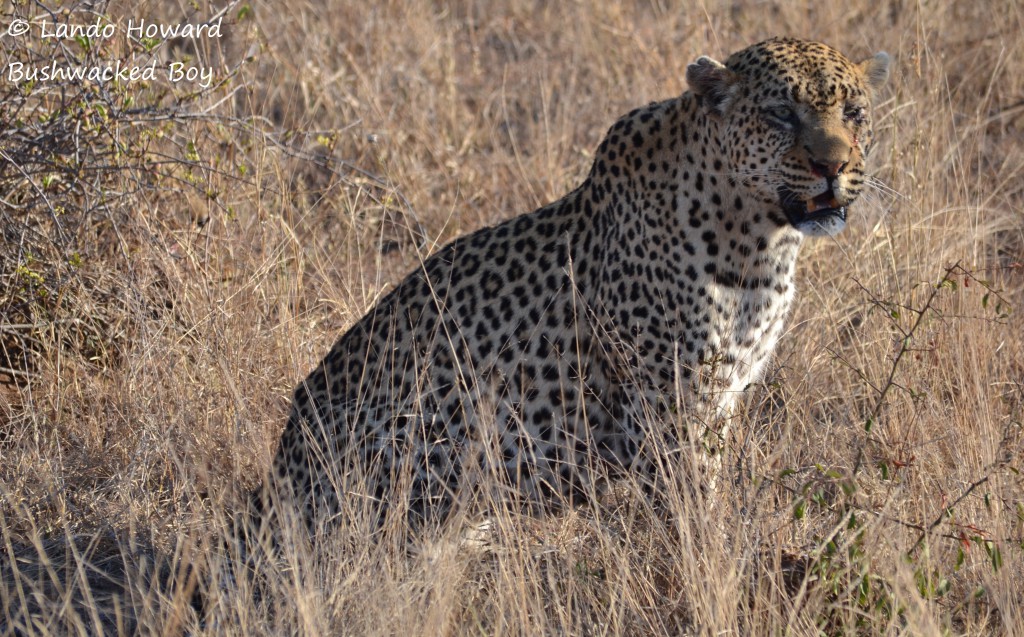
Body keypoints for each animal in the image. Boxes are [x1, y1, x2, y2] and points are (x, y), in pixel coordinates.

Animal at [253, 38, 888, 540]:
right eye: (781, 114)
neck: (761, 243)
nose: (834, 167)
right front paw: (713, 559)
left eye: (855, 113)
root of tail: (275, 477)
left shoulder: (722, 395)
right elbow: (692, 507)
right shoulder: (667, 406)